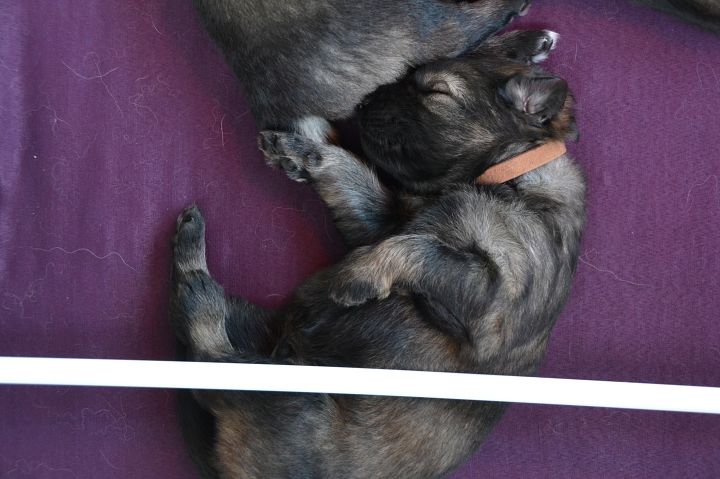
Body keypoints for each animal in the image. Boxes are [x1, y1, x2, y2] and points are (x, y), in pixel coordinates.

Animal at [170, 29, 585, 479]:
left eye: (436, 91)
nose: (363, 103)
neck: (510, 174)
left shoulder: (493, 301)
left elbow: (422, 248)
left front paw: (358, 274)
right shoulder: (382, 220)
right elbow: (354, 177)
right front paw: (302, 152)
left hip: (299, 398)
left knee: (206, 355)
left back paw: (194, 267)